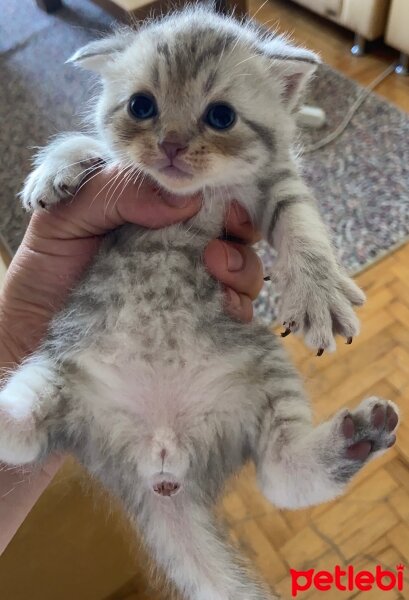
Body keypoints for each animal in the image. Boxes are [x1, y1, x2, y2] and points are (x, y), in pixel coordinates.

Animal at [0, 5, 398, 600]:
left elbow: (299, 221)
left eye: (221, 116)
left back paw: (355, 439)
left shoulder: (275, 185)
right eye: (142, 106)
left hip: (265, 371)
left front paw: (317, 287)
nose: (169, 144)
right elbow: (98, 149)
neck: (192, 197)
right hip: (53, 374)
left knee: (281, 475)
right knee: (21, 437)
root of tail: (158, 462)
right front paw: (57, 167)